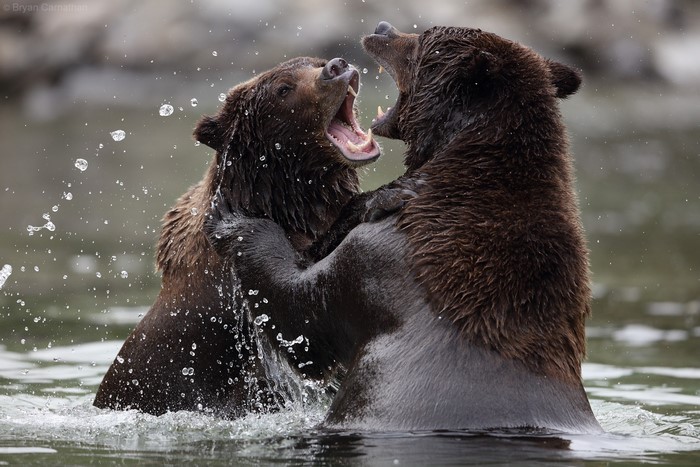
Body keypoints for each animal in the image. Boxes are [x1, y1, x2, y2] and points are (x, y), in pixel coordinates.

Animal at [93, 56, 381, 417]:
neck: (286, 202)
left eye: (313, 63)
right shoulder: (231, 288)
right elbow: (303, 323)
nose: (336, 67)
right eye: (283, 88)